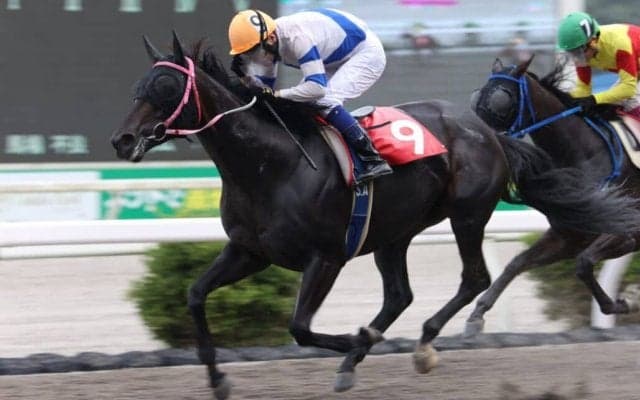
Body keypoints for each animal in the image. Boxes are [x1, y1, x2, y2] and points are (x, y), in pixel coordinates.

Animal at [466, 57, 640, 338]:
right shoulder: (569, 236)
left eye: (502, 99)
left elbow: (583, 263)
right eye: (476, 97)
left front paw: (622, 305)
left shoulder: (627, 233)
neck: (585, 155)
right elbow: (517, 263)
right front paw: (476, 315)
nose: (477, 139)